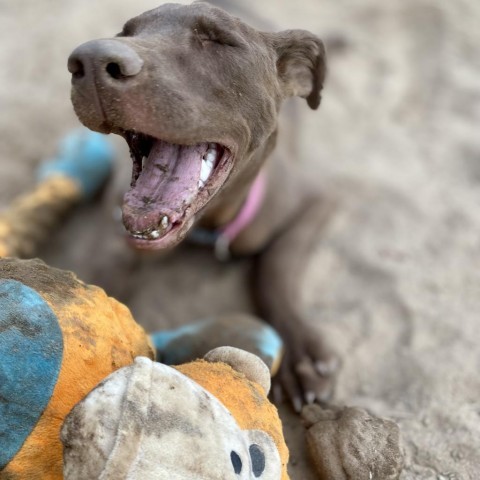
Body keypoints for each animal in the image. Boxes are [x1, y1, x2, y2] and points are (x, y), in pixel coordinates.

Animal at [68, 0, 338, 412]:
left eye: (218, 40)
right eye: (126, 33)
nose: (93, 60)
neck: (210, 223)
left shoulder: (317, 199)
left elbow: (276, 269)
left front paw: (302, 353)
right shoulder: (114, 227)